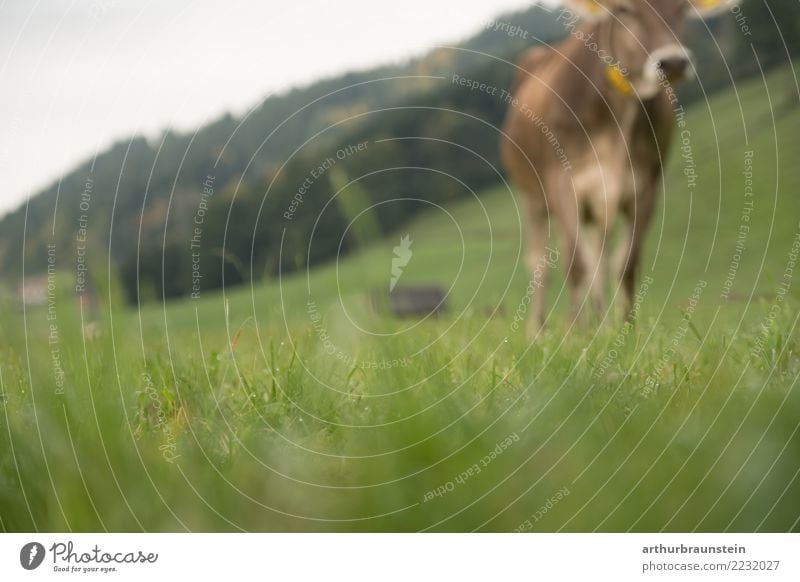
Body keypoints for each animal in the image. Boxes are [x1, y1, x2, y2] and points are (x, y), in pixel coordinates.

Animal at [500, 0, 736, 336]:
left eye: (682, 8)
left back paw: (599, 322)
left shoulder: (647, 186)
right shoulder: (562, 183)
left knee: (599, 255)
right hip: (532, 195)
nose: (673, 63)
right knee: (542, 262)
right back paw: (542, 330)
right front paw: (573, 334)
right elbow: (574, 264)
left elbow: (626, 263)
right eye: (625, 9)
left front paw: (626, 329)